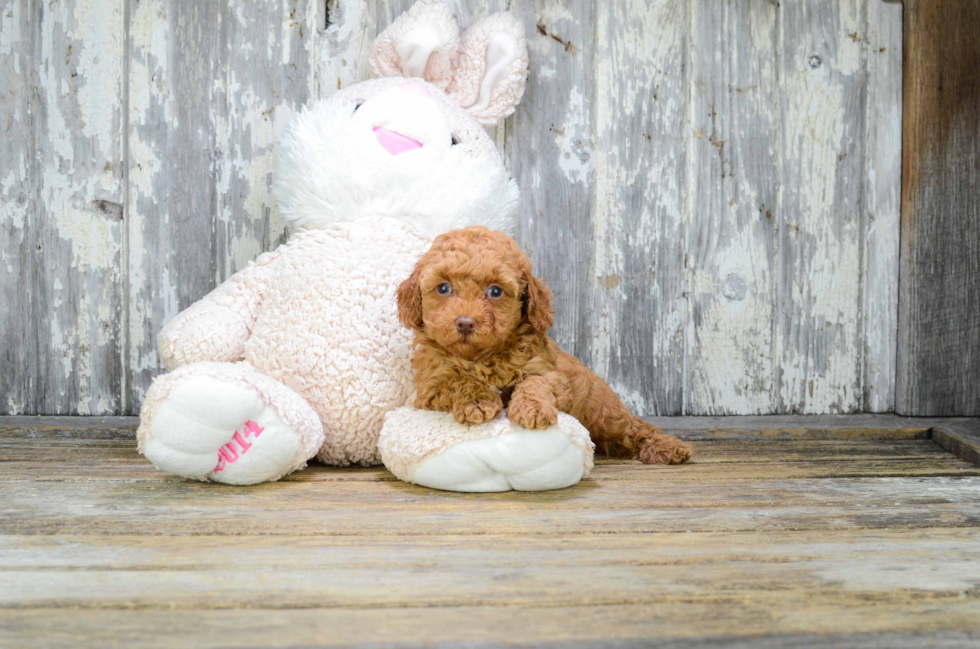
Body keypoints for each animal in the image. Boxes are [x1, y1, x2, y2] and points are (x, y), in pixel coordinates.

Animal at [394, 225, 692, 464]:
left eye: (495, 291)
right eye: (443, 288)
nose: (466, 322)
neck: (483, 357)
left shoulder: (551, 374)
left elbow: (534, 383)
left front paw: (532, 409)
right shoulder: (430, 387)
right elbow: (457, 381)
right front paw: (477, 401)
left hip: (605, 412)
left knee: (635, 430)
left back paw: (669, 447)